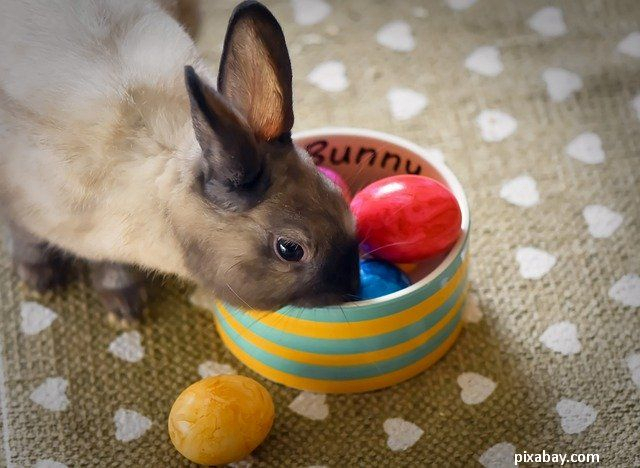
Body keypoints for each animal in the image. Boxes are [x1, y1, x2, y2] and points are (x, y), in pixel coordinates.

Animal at [0, 0, 360, 320]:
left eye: (336, 195)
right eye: (290, 249)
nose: (353, 288)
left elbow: (111, 265)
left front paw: (125, 307)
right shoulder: (30, 203)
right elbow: (29, 237)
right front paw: (45, 281)